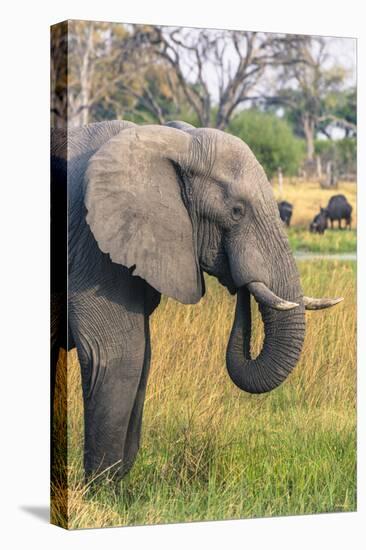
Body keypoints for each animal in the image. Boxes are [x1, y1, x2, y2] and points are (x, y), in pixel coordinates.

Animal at [50, 119, 344, 484]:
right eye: (236, 212)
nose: (240, 282)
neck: (168, 141)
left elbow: (143, 357)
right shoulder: (92, 247)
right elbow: (118, 356)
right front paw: (103, 490)